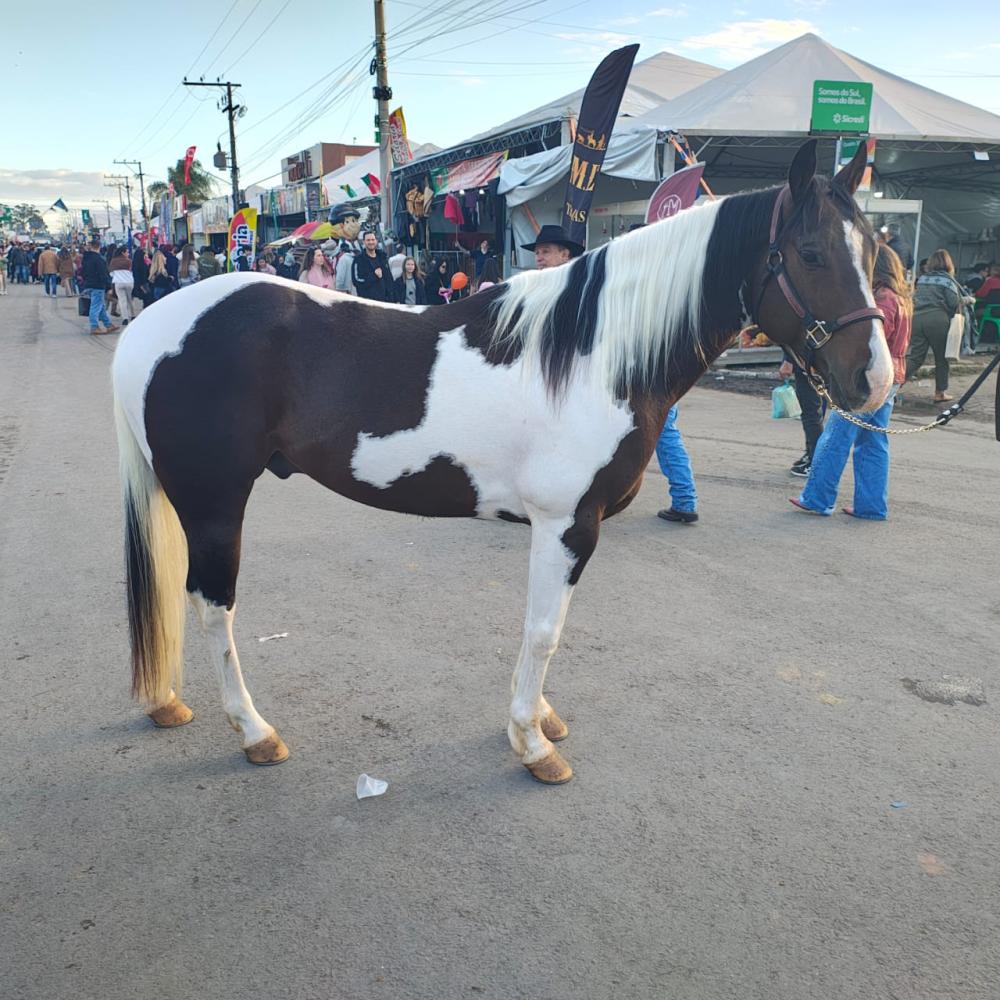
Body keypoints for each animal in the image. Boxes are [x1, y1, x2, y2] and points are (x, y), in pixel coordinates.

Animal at [111, 140, 890, 784]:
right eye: (811, 254)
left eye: (877, 255)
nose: (875, 380)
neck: (593, 353)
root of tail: (150, 327)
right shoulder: (567, 525)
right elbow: (545, 631)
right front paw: (533, 743)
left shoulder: (560, 530)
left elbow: (543, 628)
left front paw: (540, 719)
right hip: (216, 503)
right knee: (211, 606)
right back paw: (255, 733)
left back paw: (169, 702)